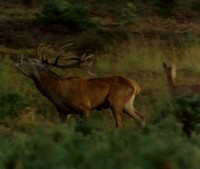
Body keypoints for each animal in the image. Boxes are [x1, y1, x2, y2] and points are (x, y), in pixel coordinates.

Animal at [15, 44, 145, 129]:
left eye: (33, 61)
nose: (20, 57)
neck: (58, 93)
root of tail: (136, 86)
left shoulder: (84, 108)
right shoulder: (62, 112)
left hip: (116, 102)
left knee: (119, 123)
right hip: (127, 104)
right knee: (141, 117)